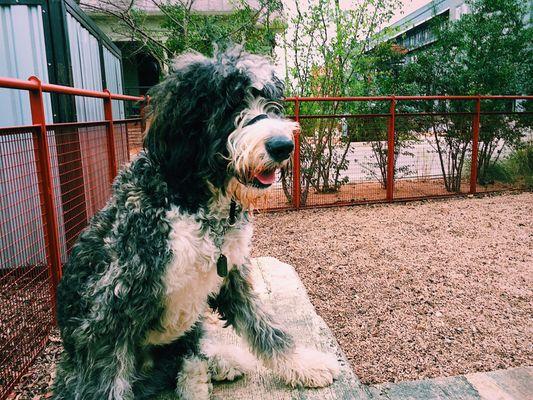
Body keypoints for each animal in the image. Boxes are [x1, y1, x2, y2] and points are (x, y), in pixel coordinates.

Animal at [52, 47, 338, 400]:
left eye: (270, 102)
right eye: (231, 105)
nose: (283, 146)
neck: (196, 202)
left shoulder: (232, 272)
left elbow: (265, 326)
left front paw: (304, 365)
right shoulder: (110, 305)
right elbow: (108, 382)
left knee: (191, 352)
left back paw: (218, 364)